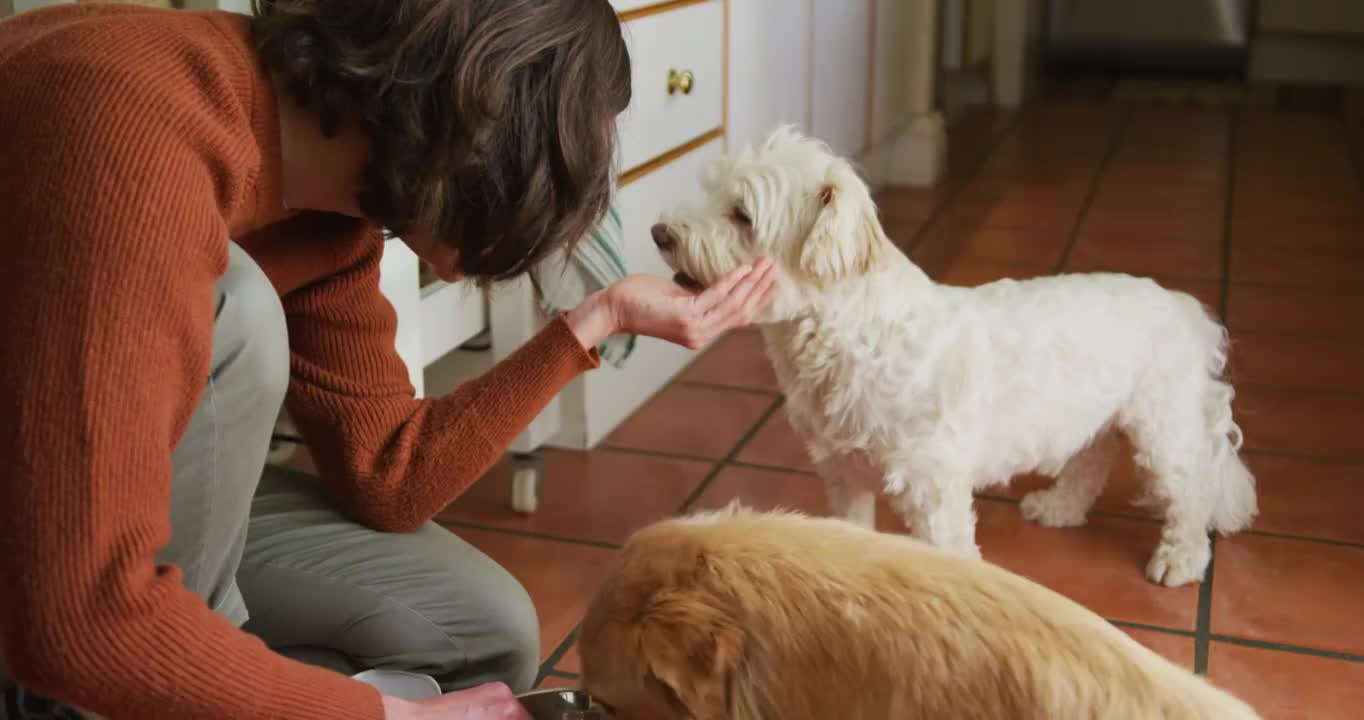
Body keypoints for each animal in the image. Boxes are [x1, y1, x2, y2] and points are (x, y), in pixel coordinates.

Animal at [649, 126, 1254, 589]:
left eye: (742, 215)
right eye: (709, 193)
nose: (659, 232)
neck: (851, 337)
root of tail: (1184, 308)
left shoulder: (931, 484)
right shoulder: (843, 470)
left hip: (1163, 428)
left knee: (1191, 492)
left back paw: (1181, 559)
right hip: (1096, 416)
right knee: (1092, 460)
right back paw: (1059, 507)